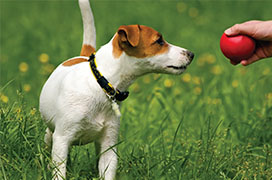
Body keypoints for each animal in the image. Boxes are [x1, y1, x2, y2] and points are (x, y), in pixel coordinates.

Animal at [39, 0, 194, 179]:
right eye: (159, 41)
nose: (191, 54)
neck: (101, 83)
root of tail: (83, 55)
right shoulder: (62, 139)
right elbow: (60, 170)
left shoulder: (109, 145)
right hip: (51, 134)